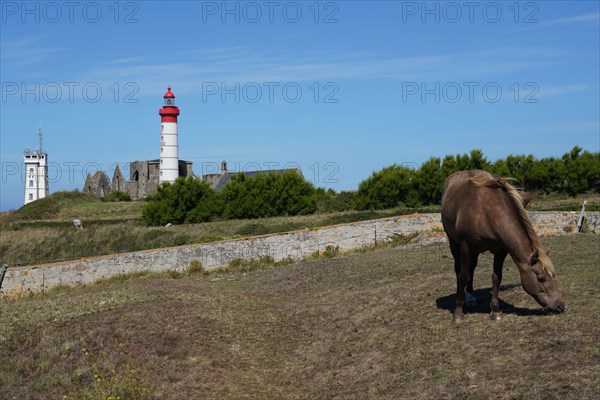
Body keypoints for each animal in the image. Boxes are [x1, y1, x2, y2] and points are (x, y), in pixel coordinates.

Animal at [440, 170, 564, 320]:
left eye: (553, 276)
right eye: (541, 278)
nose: (560, 306)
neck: (486, 211)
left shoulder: (501, 250)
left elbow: (496, 277)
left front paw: (496, 311)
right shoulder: (465, 246)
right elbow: (463, 276)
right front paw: (458, 313)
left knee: (472, 267)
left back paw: (470, 296)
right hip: (454, 243)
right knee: (459, 269)